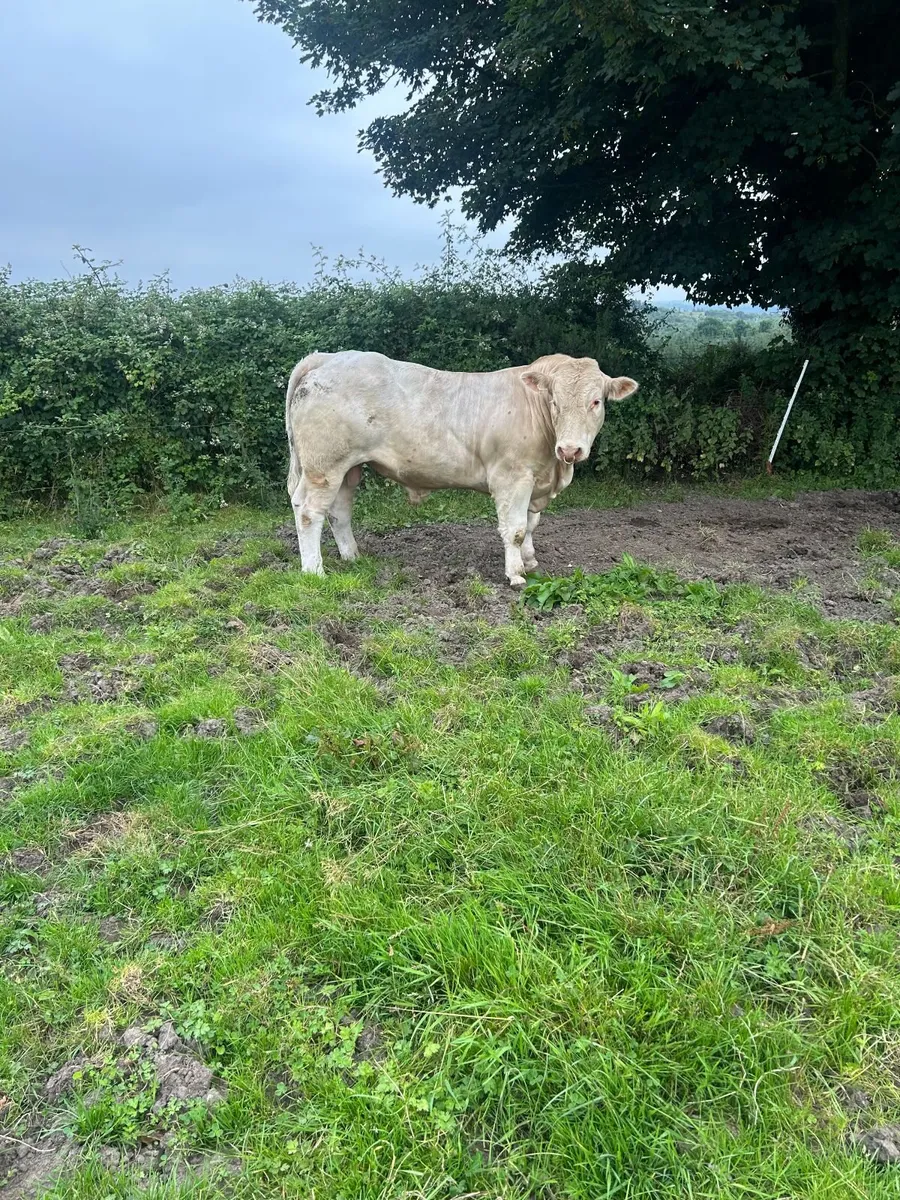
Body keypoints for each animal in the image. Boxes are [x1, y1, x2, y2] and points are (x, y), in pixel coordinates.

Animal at [285, 351, 638, 586]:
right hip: (324, 466)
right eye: (555, 402)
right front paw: (515, 574)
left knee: (339, 512)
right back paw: (314, 571)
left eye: (596, 401)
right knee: (309, 512)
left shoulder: (535, 478)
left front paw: (530, 561)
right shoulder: (512, 478)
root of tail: (328, 357)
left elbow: (530, 525)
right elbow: (515, 528)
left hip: (348, 468)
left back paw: (353, 556)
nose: (569, 449)